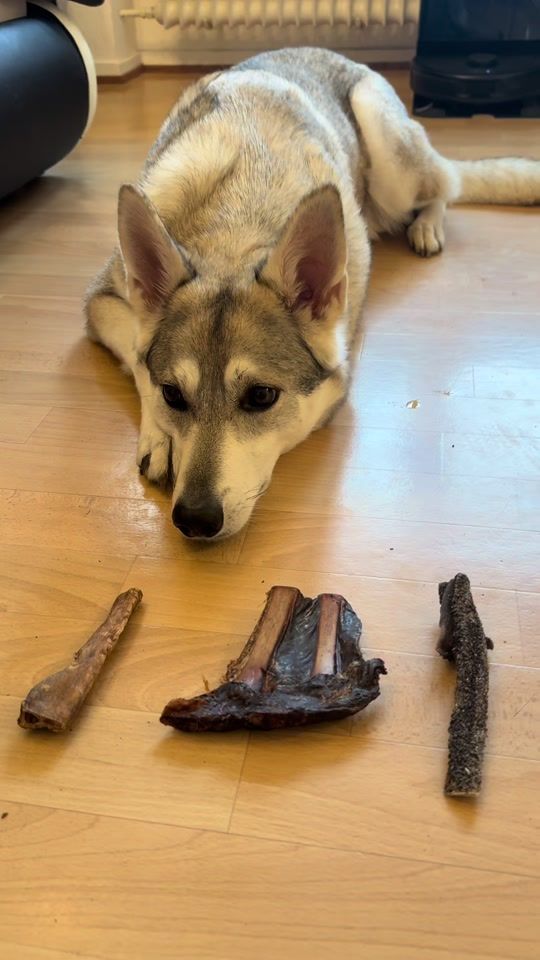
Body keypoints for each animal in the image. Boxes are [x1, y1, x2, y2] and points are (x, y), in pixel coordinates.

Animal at [86, 48, 539, 539]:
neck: (237, 224)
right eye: (173, 395)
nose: (194, 520)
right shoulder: (99, 303)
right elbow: (138, 357)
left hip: (391, 160)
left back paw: (426, 227)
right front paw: (160, 437)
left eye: (261, 397)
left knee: (444, 189)